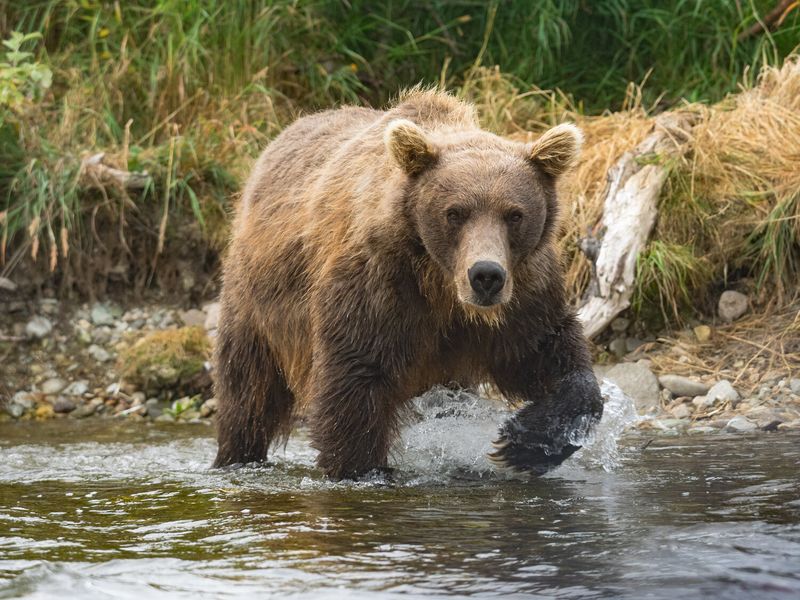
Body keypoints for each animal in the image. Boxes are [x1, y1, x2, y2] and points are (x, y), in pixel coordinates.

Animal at [212, 89, 600, 480]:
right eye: (454, 212)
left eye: (514, 214)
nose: (486, 276)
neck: (443, 290)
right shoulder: (379, 285)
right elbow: (355, 378)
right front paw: (362, 468)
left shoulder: (523, 296)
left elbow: (550, 351)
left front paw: (521, 445)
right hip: (257, 303)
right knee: (248, 390)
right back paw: (237, 454)